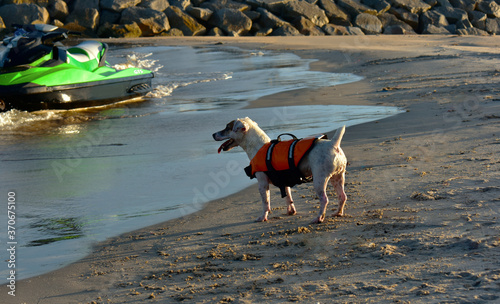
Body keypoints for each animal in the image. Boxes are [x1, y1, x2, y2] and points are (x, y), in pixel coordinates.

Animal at [212, 116, 348, 223]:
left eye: (227, 127)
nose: (213, 134)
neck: (259, 147)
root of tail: (333, 144)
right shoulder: (285, 183)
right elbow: (288, 198)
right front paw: (290, 211)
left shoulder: (262, 183)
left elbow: (266, 203)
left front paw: (263, 217)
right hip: (337, 177)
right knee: (342, 196)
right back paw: (338, 212)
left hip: (319, 180)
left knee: (324, 199)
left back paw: (319, 218)